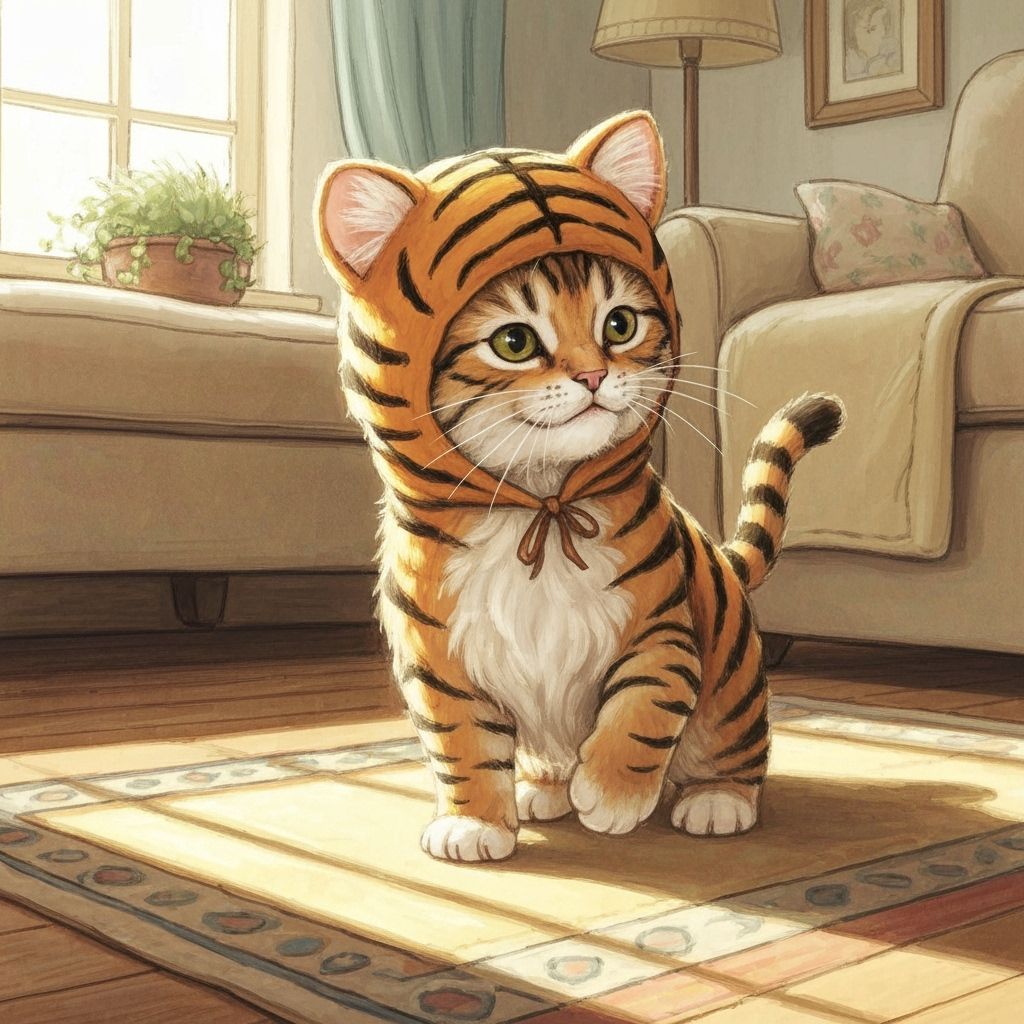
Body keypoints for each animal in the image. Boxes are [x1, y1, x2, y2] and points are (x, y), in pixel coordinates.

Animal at [316, 111, 844, 862]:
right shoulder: (440, 663)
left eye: (619, 325)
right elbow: (464, 747)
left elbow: (642, 707)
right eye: (514, 342)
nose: (595, 375)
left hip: (735, 687)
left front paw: (614, 795)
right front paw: (477, 823)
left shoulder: (663, 630)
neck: (539, 502)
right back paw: (545, 788)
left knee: (735, 748)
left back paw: (714, 801)